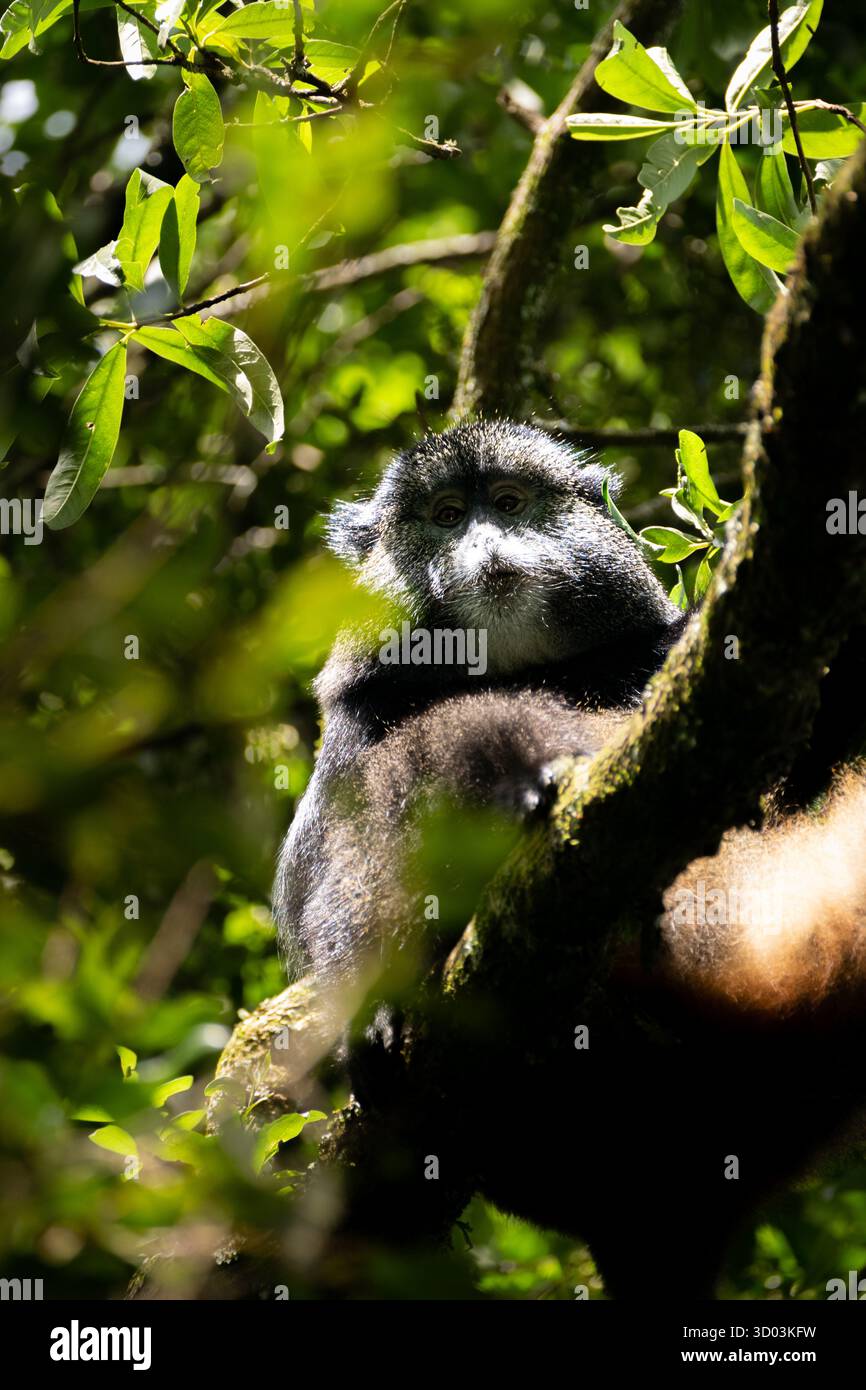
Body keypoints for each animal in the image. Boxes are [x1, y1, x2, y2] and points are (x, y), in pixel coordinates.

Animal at [272, 419, 866, 1298]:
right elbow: (331, 881)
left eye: (510, 502)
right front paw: (370, 1012)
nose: (488, 546)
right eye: (446, 516)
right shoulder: (355, 729)